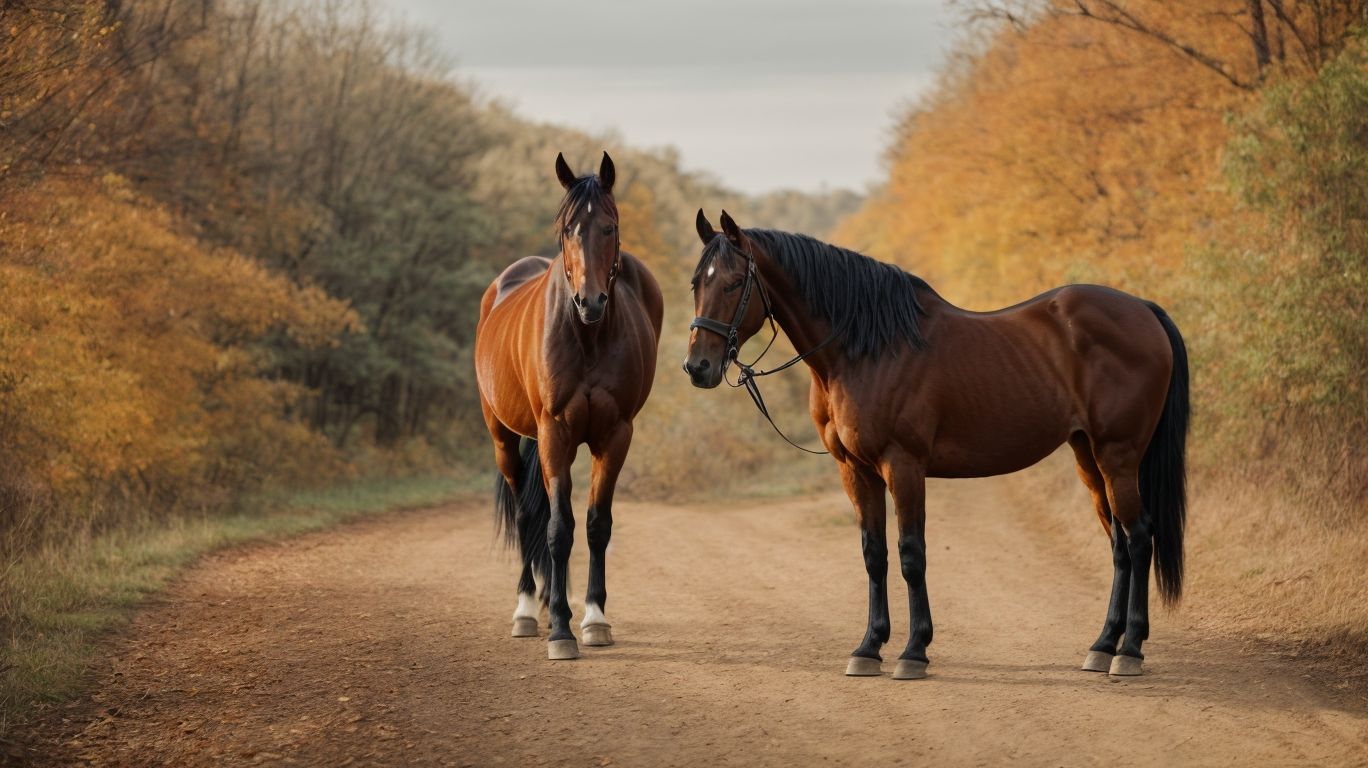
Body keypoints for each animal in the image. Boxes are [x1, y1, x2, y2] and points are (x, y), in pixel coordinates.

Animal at [474, 152, 663, 661]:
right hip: (504, 437)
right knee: (526, 516)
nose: (590, 302)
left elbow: (597, 525)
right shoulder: (554, 431)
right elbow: (558, 528)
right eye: (567, 229)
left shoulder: (614, 434)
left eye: (610, 227)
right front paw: (560, 629)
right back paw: (526, 610)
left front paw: (594, 618)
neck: (587, 336)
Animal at [684, 210, 1188, 679]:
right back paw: (1102, 646)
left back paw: (1129, 650)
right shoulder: (855, 470)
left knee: (1139, 537)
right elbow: (874, 555)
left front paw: (914, 652)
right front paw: (868, 648)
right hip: (1088, 455)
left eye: (733, 283)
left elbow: (911, 554)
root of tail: (1144, 310)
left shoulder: (903, 465)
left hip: (1117, 454)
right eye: (695, 283)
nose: (697, 367)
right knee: (1118, 543)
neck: (864, 349)